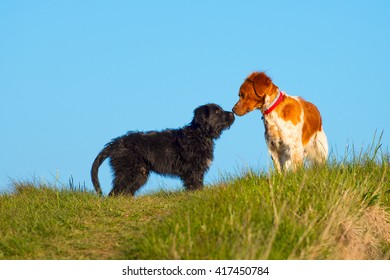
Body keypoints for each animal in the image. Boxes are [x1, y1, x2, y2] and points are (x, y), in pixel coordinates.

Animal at [90, 103, 235, 197]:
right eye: (217, 112)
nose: (232, 113)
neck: (200, 134)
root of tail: (116, 142)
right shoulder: (193, 171)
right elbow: (195, 186)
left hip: (140, 174)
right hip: (128, 171)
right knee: (115, 192)